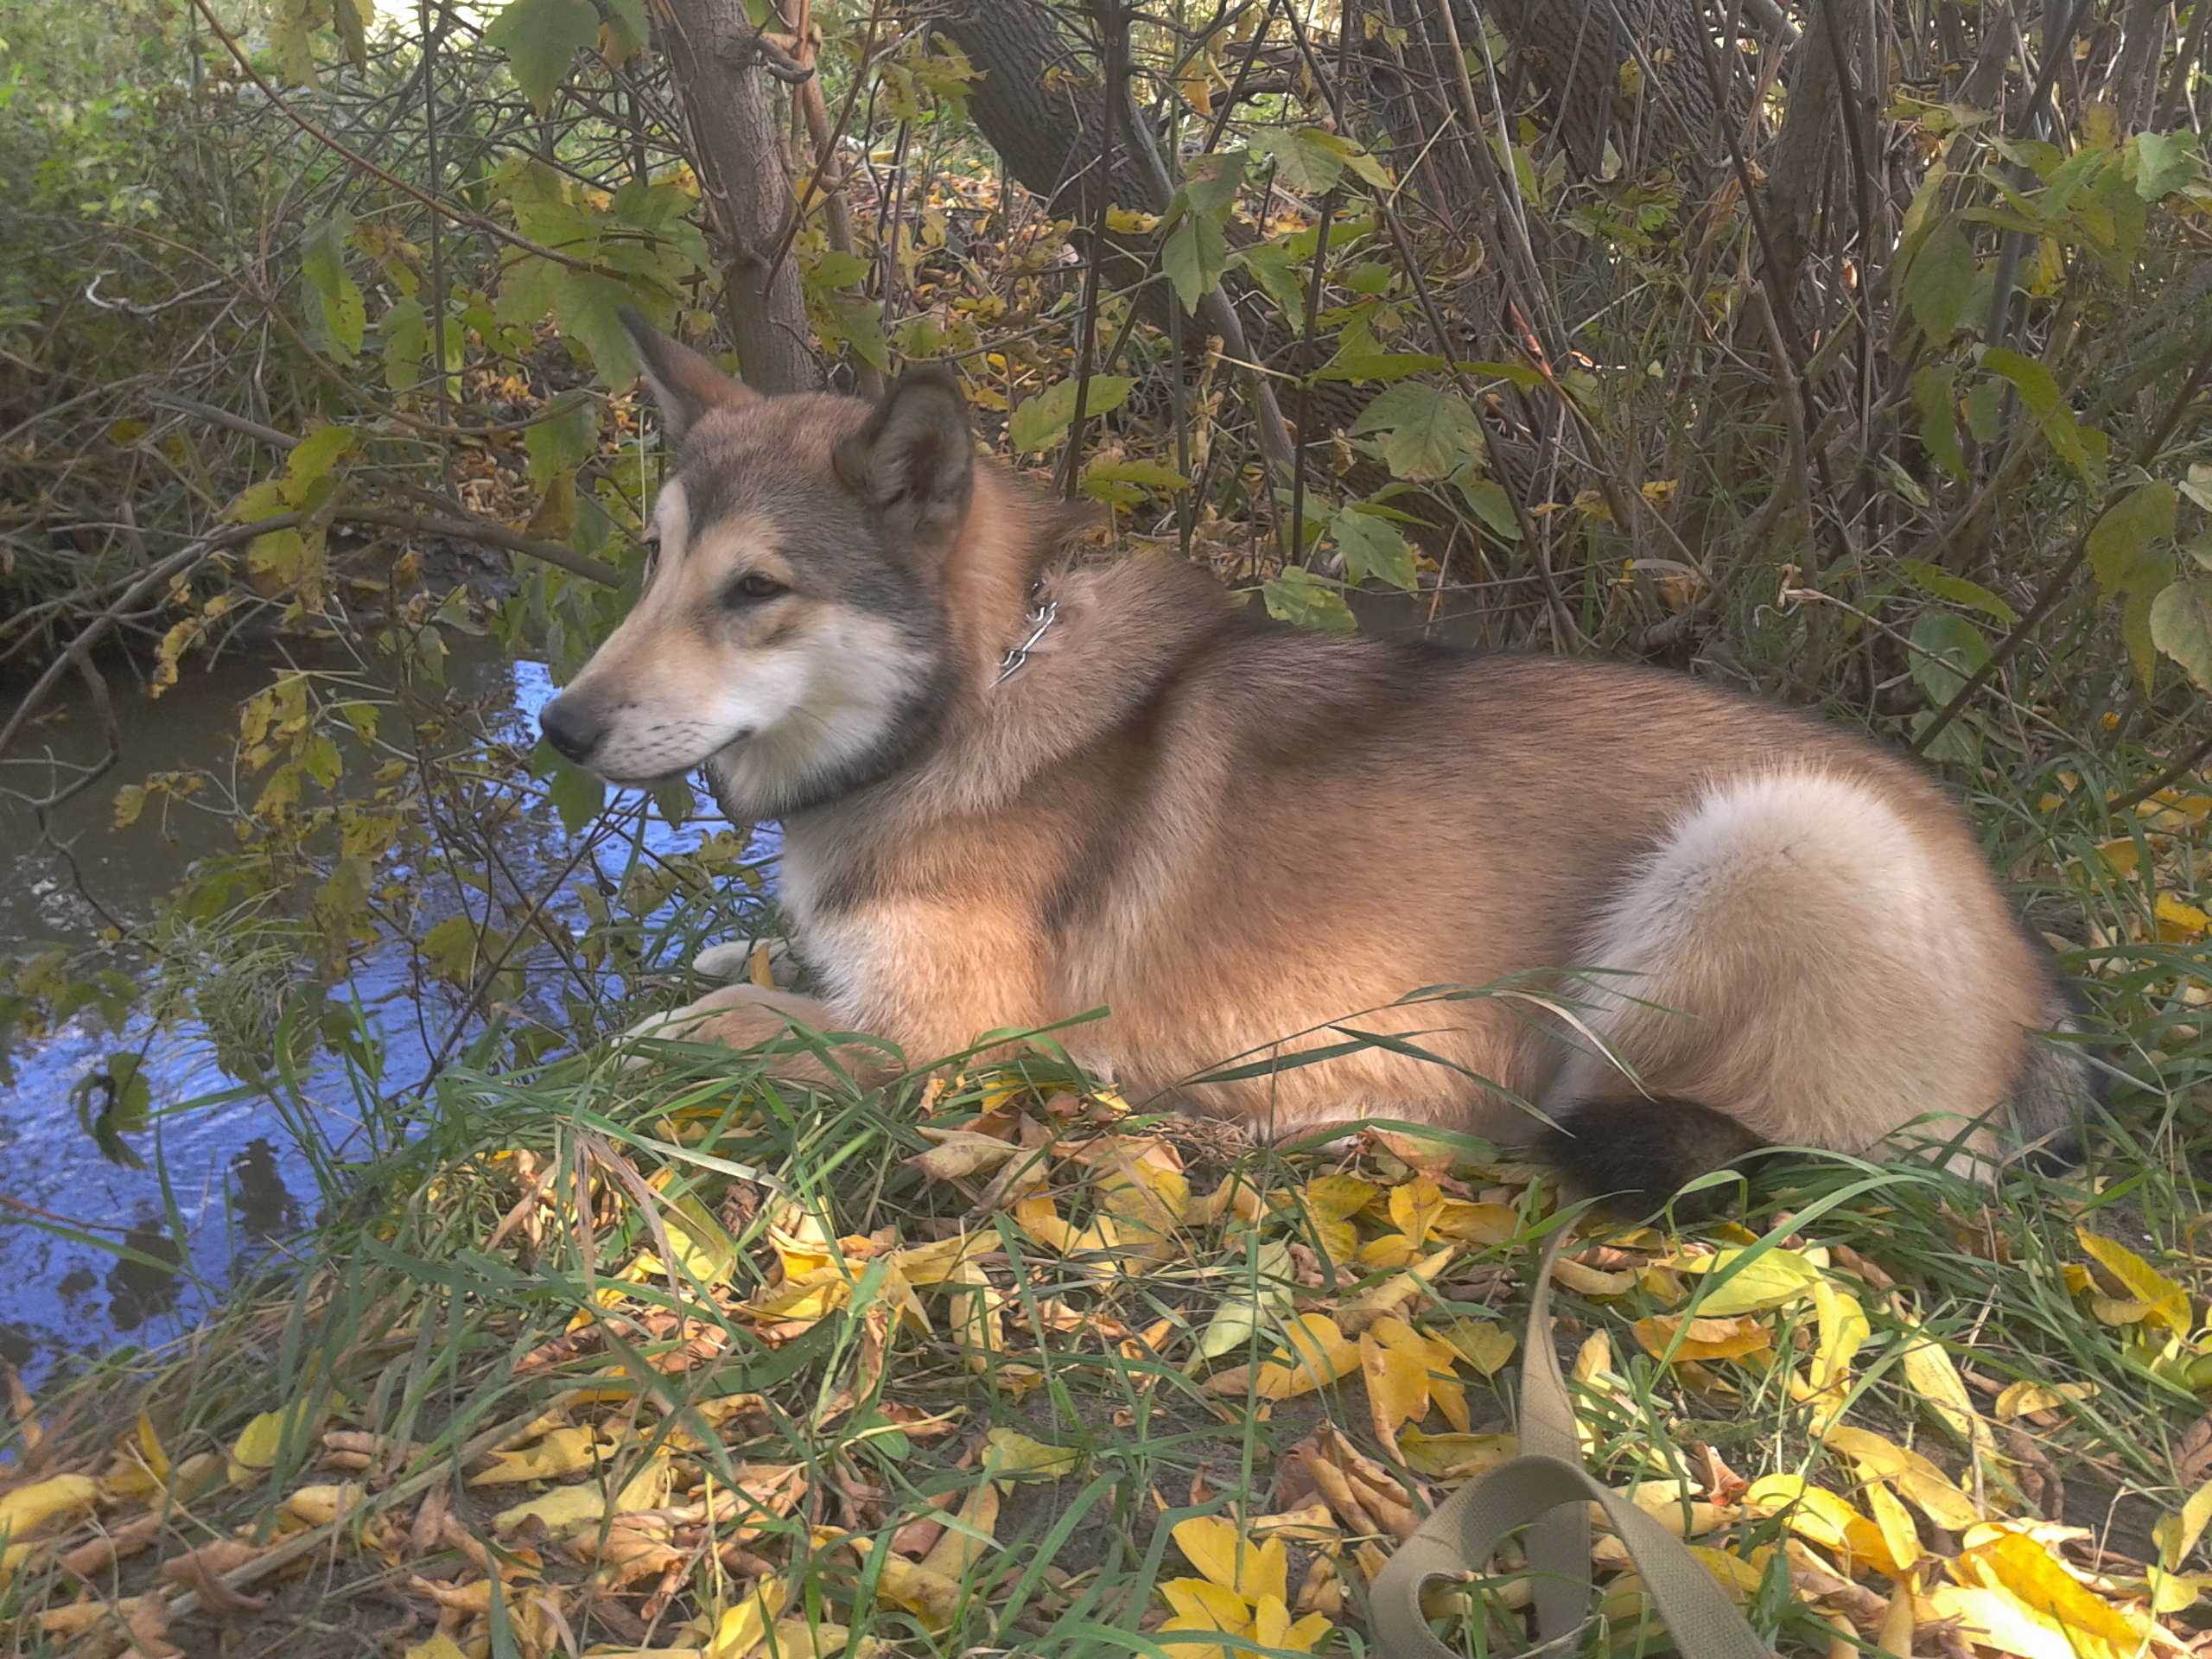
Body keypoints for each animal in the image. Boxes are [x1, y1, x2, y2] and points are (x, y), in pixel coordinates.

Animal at [539, 311, 2088, 1211]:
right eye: (654, 557)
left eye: (757, 591)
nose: (556, 728)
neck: (972, 703)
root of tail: (2033, 1009)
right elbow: (748, 969)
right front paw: (725, 954)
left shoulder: (942, 1045)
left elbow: (713, 1030)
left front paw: (655, 1029)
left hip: (1761, 850)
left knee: (1552, 1126)